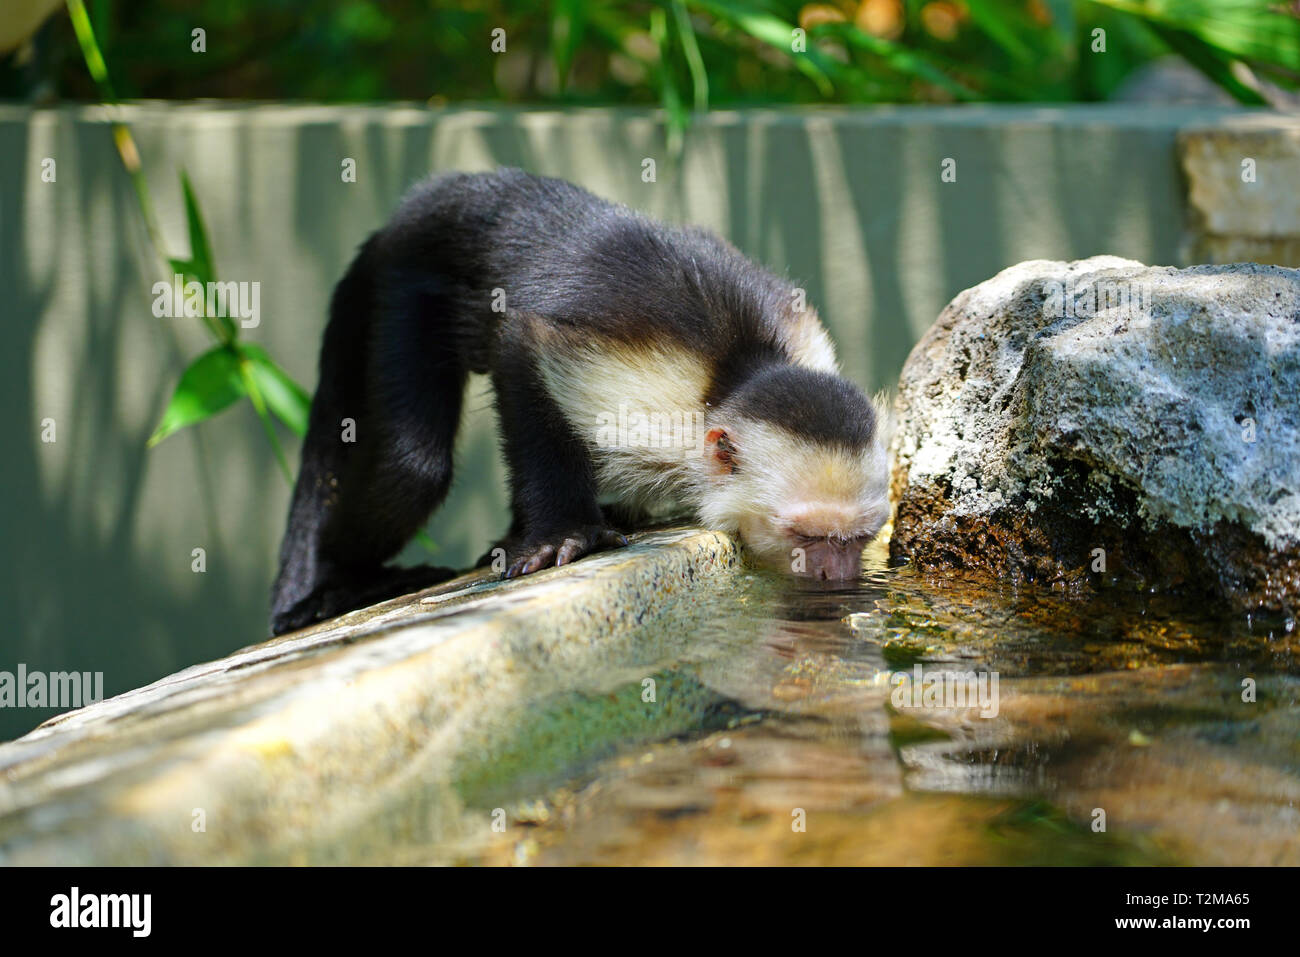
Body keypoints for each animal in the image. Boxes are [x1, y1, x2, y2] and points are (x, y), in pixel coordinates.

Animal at [269, 171, 889, 634]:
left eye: (859, 540)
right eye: (807, 538)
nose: (837, 577)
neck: (739, 372)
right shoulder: (646, 398)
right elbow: (522, 346)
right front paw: (561, 533)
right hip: (407, 285)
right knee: (411, 470)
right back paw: (335, 583)